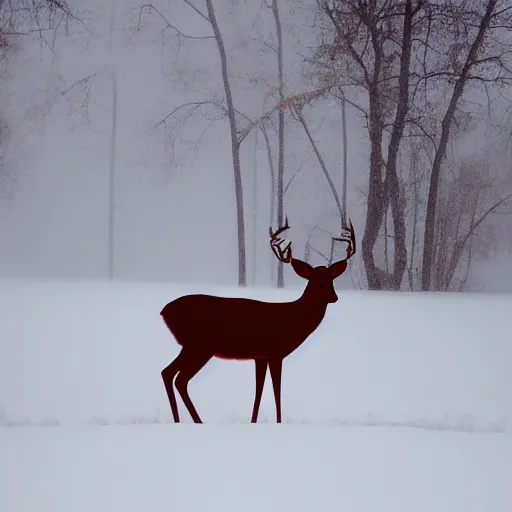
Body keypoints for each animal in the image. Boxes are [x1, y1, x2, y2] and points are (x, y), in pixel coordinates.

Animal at [160, 217, 356, 424]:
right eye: (319, 284)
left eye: (332, 281)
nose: (334, 297)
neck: (293, 318)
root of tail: (163, 311)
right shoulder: (276, 352)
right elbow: (276, 391)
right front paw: (278, 422)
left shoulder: (260, 355)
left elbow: (258, 391)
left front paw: (253, 421)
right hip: (199, 345)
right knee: (179, 379)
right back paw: (197, 421)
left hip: (193, 346)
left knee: (168, 373)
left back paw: (180, 420)